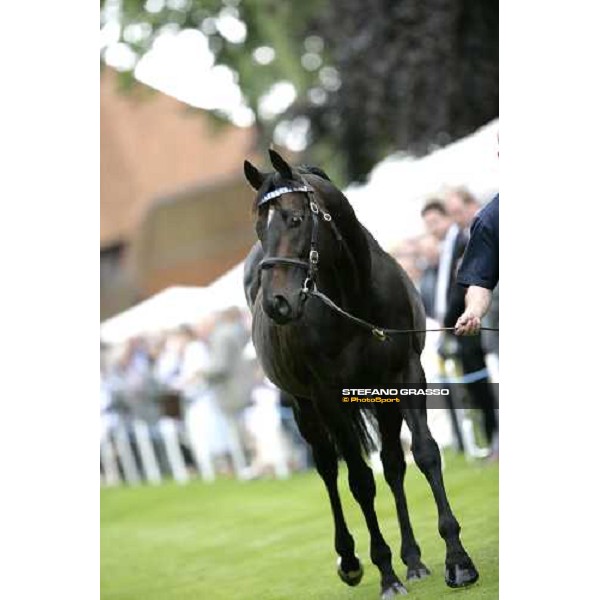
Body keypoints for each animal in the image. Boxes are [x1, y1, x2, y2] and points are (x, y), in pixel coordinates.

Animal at [243, 151, 478, 600]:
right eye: (260, 227)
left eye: (294, 219)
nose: (276, 303)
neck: (354, 297)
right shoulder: (329, 398)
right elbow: (359, 481)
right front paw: (385, 573)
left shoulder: (407, 375)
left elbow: (423, 454)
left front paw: (457, 561)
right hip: (303, 409)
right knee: (328, 469)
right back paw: (350, 561)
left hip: (380, 398)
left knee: (393, 464)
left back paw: (414, 560)